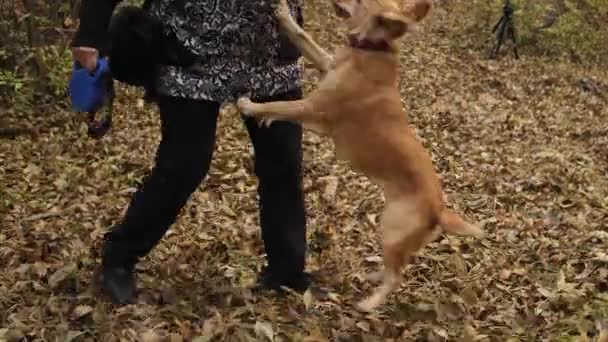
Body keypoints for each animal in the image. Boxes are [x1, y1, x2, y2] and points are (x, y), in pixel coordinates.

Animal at [238, 0, 484, 312]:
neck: (371, 48)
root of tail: (438, 210)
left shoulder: (312, 108)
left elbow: (279, 106)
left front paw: (249, 106)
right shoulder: (326, 63)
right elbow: (304, 38)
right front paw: (284, 14)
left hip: (390, 228)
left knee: (396, 276)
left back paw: (369, 304)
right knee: (394, 268)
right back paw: (373, 275)